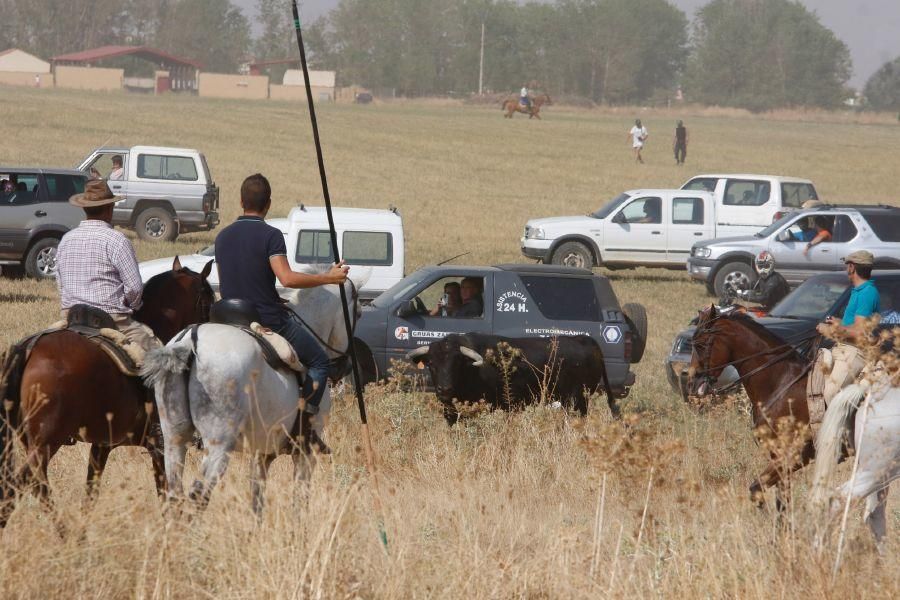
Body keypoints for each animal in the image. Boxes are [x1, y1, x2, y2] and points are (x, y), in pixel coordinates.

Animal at [0, 256, 214, 524]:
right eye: (207, 302)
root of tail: (29, 349)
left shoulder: (101, 445)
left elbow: (91, 494)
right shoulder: (160, 445)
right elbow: (166, 494)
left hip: (31, 442)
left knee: (37, 486)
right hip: (45, 442)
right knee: (18, 487)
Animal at [143, 270, 366, 512]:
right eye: (358, 313)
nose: (345, 366)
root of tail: (189, 342)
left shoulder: (262, 451)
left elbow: (256, 500)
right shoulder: (305, 452)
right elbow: (299, 501)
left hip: (174, 440)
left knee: (174, 495)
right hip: (219, 445)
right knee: (198, 495)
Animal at [684, 308, 820, 508]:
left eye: (700, 345)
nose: (692, 384)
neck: (782, 382)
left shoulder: (791, 456)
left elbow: (756, 489)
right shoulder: (780, 459)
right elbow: (781, 501)